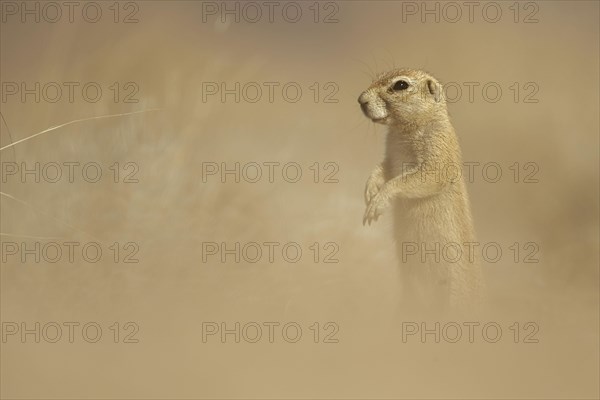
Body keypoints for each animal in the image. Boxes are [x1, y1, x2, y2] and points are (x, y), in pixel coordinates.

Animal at [358, 69, 486, 310]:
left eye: (400, 85)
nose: (360, 100)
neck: (403, 131)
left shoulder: (438, 149)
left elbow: (413, 179)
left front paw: (378, 202)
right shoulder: (391, 157)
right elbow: (382, 169)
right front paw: (369, 190)